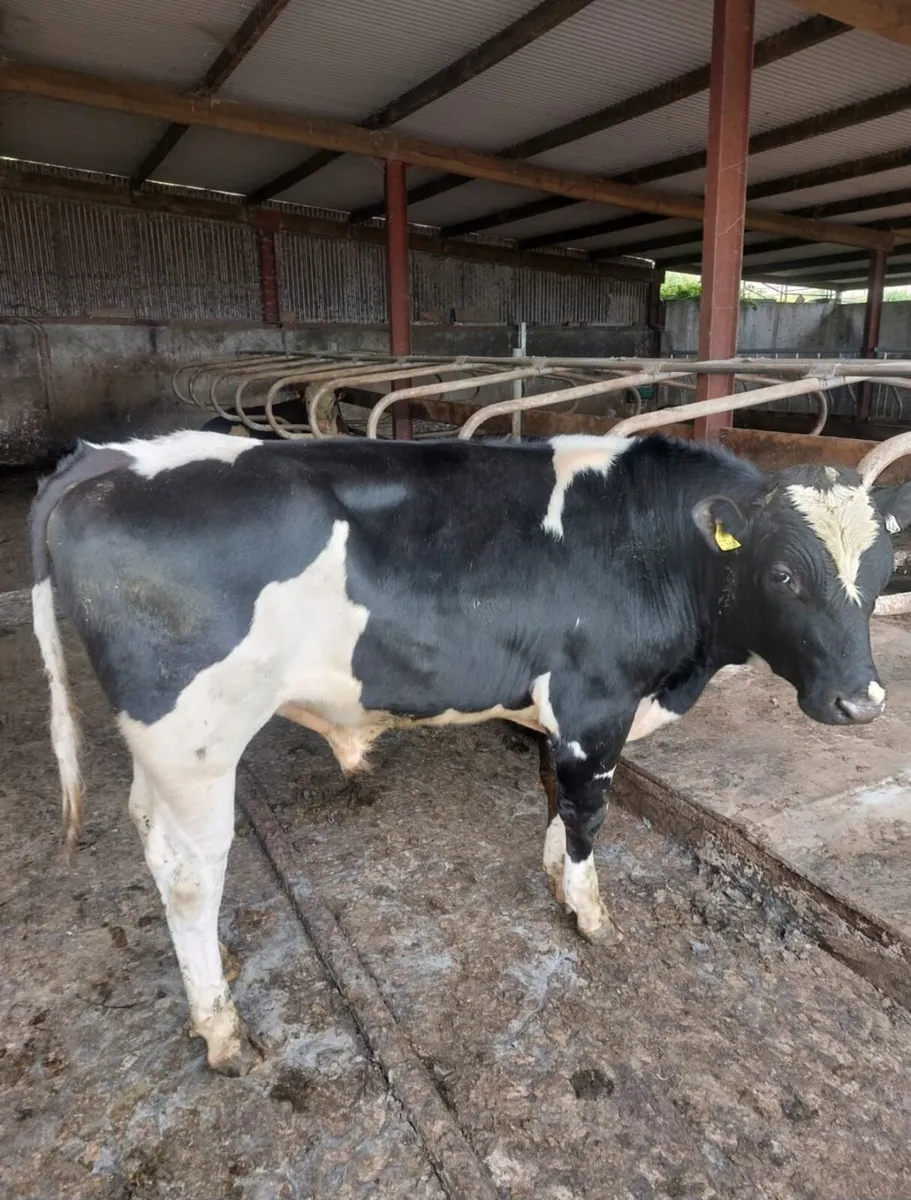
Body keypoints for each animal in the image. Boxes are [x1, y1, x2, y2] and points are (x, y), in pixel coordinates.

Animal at [29, 428, 911, 1075]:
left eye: (880, 571)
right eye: (782, 573)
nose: (861, 702)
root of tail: (109, 455)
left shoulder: (564, 710)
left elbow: (557, 797)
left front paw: (556, 876)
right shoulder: (594, 700)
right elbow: (589, 807)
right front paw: (588, 912)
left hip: (164, 751)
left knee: (151, 833)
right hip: (196, 737)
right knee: (190, 871)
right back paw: (218, 1025)